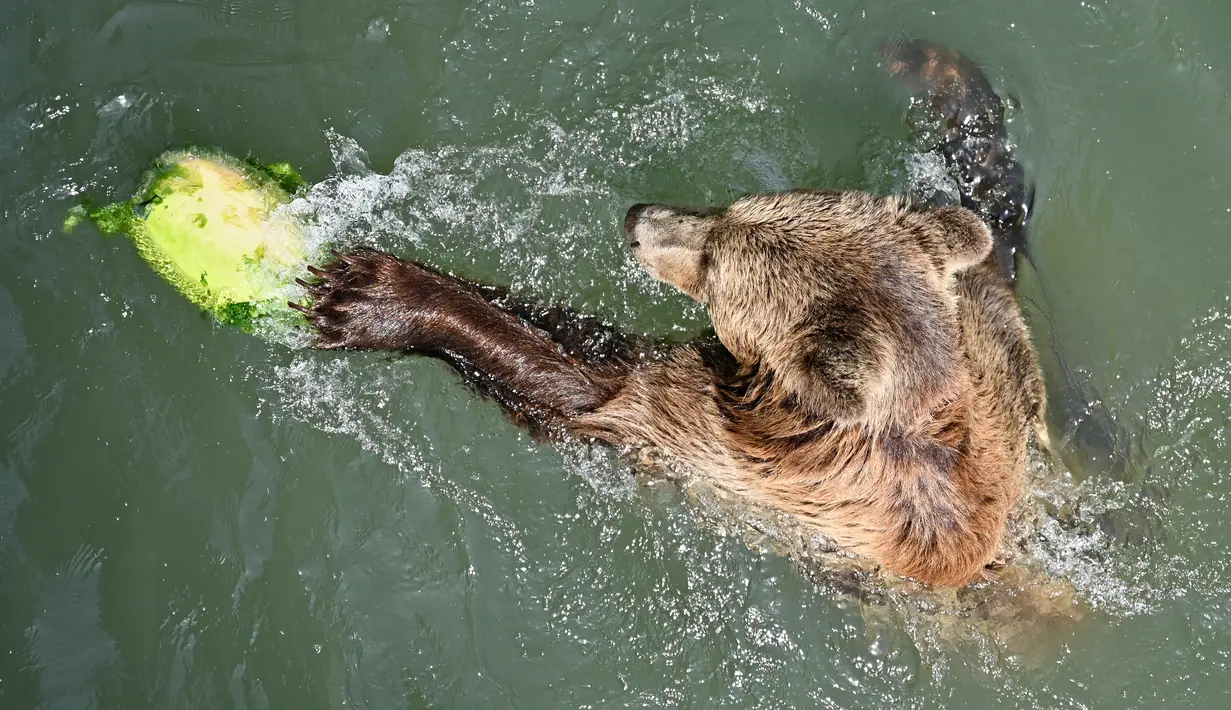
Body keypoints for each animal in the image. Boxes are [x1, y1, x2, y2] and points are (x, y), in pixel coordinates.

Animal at [290, 41, 1048, 590]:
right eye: (728, 209)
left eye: (715, 265)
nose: (637, 217)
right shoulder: (991, 348)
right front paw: (937, 71)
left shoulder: (751, 452)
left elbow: (586, 387)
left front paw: (366, 293)